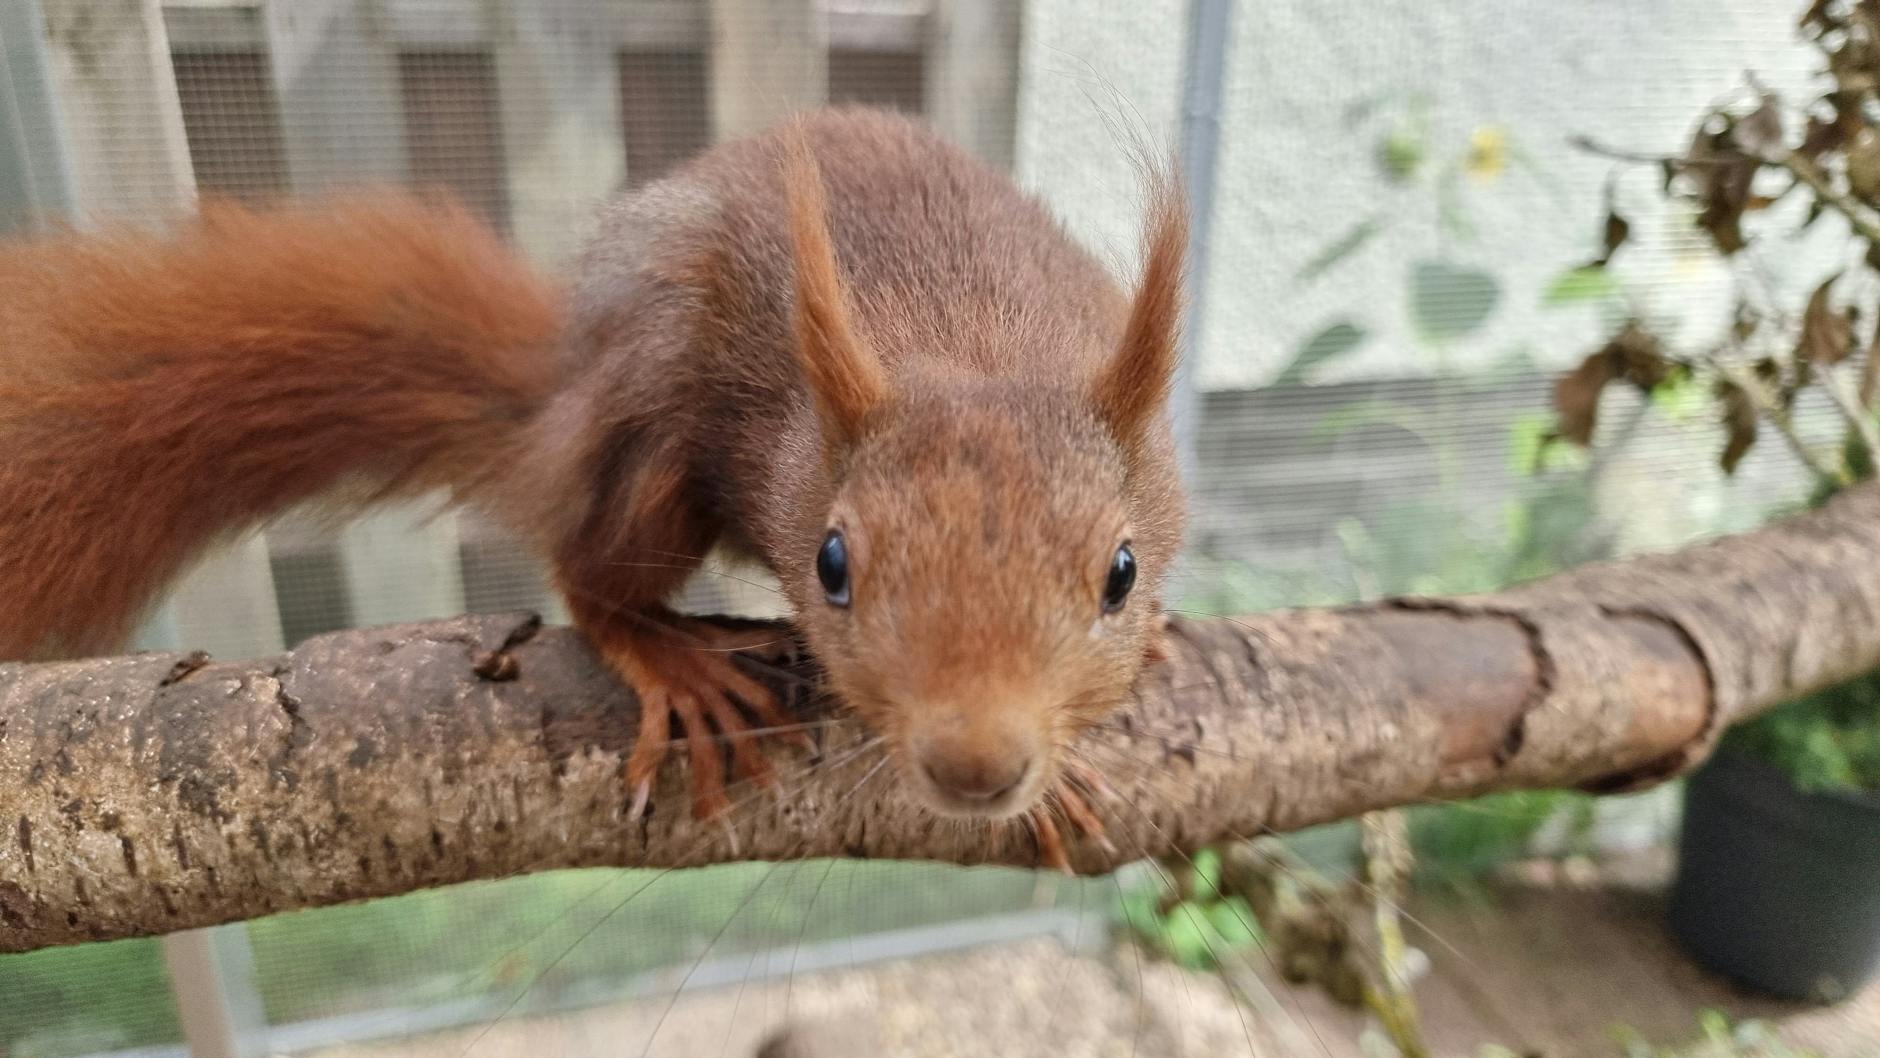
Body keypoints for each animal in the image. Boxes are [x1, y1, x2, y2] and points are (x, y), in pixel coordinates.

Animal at [0, 106, 1187, 843]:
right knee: (590, 574)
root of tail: (568, 398)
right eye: (831, 565)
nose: (974, 766)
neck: (975, 351)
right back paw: (671, 657)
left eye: (1121, 573)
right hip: (650, 435)